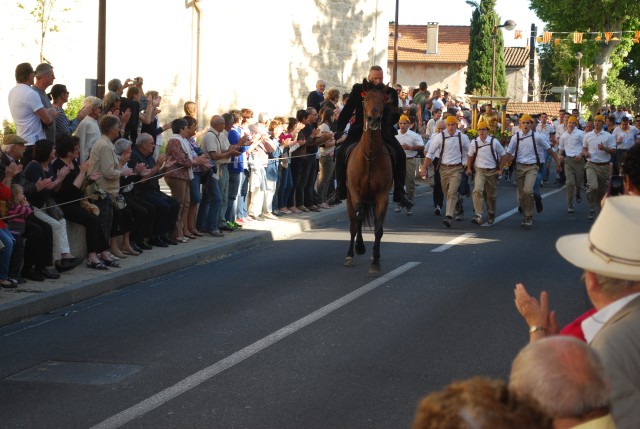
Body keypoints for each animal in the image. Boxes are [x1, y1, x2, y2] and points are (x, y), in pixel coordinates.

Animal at [344, 80, 396, 272]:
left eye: (383, 100)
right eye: (365, 99)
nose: (373, 120)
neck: (370, 157)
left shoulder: (382, 196)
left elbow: (378, 228)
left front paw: (375, 260)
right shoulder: (356, 193)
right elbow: (358, 221)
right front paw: (359, 247)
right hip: (350, 198)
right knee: (353, 223)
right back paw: (351, 253)